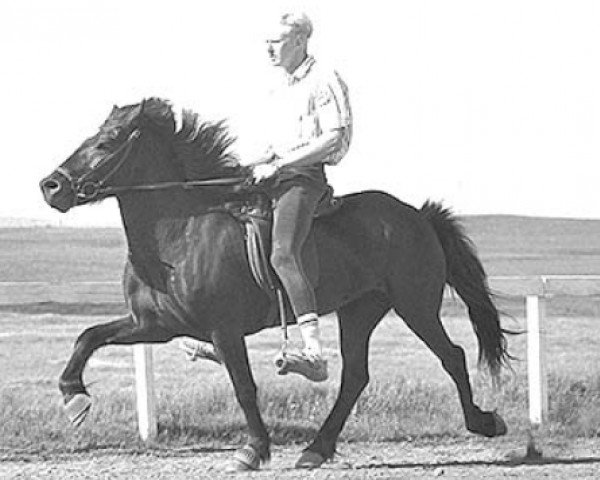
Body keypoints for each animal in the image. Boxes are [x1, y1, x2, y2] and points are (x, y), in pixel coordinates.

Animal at [39, 96, 510, 468]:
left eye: (109, 139)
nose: (51, 185)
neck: (180, 233)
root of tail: (417, 214)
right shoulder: (154, 326)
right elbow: (88, 336)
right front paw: (74, 398)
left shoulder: (223, 330)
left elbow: (244, 388)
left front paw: (254, 450)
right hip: (360, 310)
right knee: (356, 376)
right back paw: (317, 448)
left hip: (415, 305)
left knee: (451, 356)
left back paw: (484, 421)